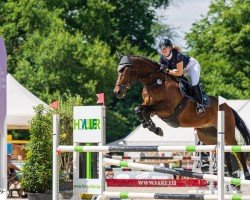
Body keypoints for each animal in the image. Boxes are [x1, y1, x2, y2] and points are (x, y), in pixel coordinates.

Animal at [113, 53, 250, 180]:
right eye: (118, 71)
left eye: (126, 70)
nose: (117, 92)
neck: (155, 82)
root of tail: (228, 107)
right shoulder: (152, 108)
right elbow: (139, 109)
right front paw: (153, 127)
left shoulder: (167, 108)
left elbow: (145, 110)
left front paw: (155, 128)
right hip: (207, 135)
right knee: (225, 150)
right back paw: (230, 176)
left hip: (228, 131)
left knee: (236, 149)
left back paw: (245, 175)